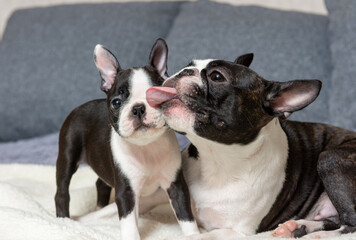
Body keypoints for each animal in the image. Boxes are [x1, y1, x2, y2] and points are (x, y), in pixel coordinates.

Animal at [56, 38, 200, 239]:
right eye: (117, 102)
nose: (138, 108)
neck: (146, 147)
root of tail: (79, 108)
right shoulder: (126, 192)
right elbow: (130, 224)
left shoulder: (176, 185)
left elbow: (186, 217)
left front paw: (194, 234)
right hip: (68, 154)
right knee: (62, 191)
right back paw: (63, 220)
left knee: (101, 183)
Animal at [145, 53, 356, 239]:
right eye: (189, 64)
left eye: (217, 76)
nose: (184, 71)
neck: (216, 158)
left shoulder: (237, 231)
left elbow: (200, 236)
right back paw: (298, 227)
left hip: (329, 159)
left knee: (350, 222)